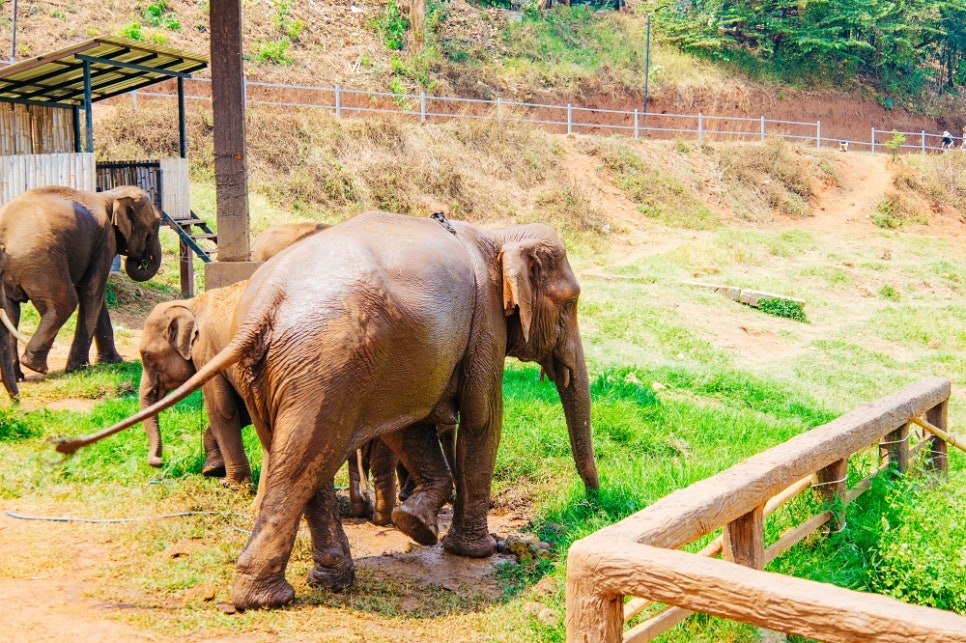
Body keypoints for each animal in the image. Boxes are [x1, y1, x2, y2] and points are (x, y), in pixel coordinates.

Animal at [0, 184, 164, 400]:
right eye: (155, 224)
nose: (142, 259)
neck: (111, 195)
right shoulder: (105, 241)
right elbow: (91, 292)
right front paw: (79, 368)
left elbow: (96, 297)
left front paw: (112, 361)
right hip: (41, 261)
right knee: (64, 304)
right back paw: (35, 367)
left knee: (11, 311)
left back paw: (18, 376)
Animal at [58, 209, 596, 612]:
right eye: (571, 302)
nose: (594, 502)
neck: (497, 232)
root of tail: (265, 304)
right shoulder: (484, 324)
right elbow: (482, 419)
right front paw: (470, 552)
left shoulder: (404, 359)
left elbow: (408, 425)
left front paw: (413, 525)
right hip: (329, 362)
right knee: (305, 459)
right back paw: (268, 598)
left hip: (294, 372)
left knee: (302, 457)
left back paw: (328, 580)